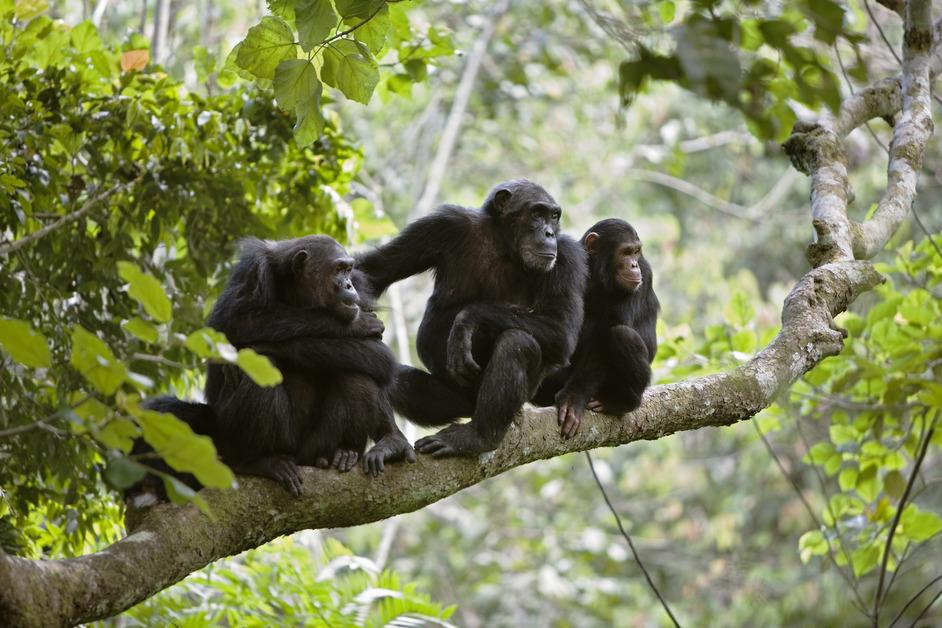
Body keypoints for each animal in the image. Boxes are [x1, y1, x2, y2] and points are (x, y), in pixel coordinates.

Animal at [132, 236, 412, 500]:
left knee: (357, 372)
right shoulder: (252, 271)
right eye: (337, 270)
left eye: (348, 269)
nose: (347, 285)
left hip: (314, 447)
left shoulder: (361, 290)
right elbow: (236, 320)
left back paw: (360, 448)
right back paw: (256, 461)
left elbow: (378, 355)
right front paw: (356, 324)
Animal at [358, 177, 588, 456]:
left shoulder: (567, 256)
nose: (549, 233)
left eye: (554, 216)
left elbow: (561, 328)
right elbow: (373, 272)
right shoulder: (442, 225)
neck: (503, 244)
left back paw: (477, 437)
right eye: (537, 213)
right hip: (453, 401)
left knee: (517, 343)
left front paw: (466, 321)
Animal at [536, 218, 660, 440]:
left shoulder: (644, 272)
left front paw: (573, 399)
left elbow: (606, 336)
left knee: (622, 335)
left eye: (636, 252)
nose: (634, 264)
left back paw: (622, 402)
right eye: (625, 252)